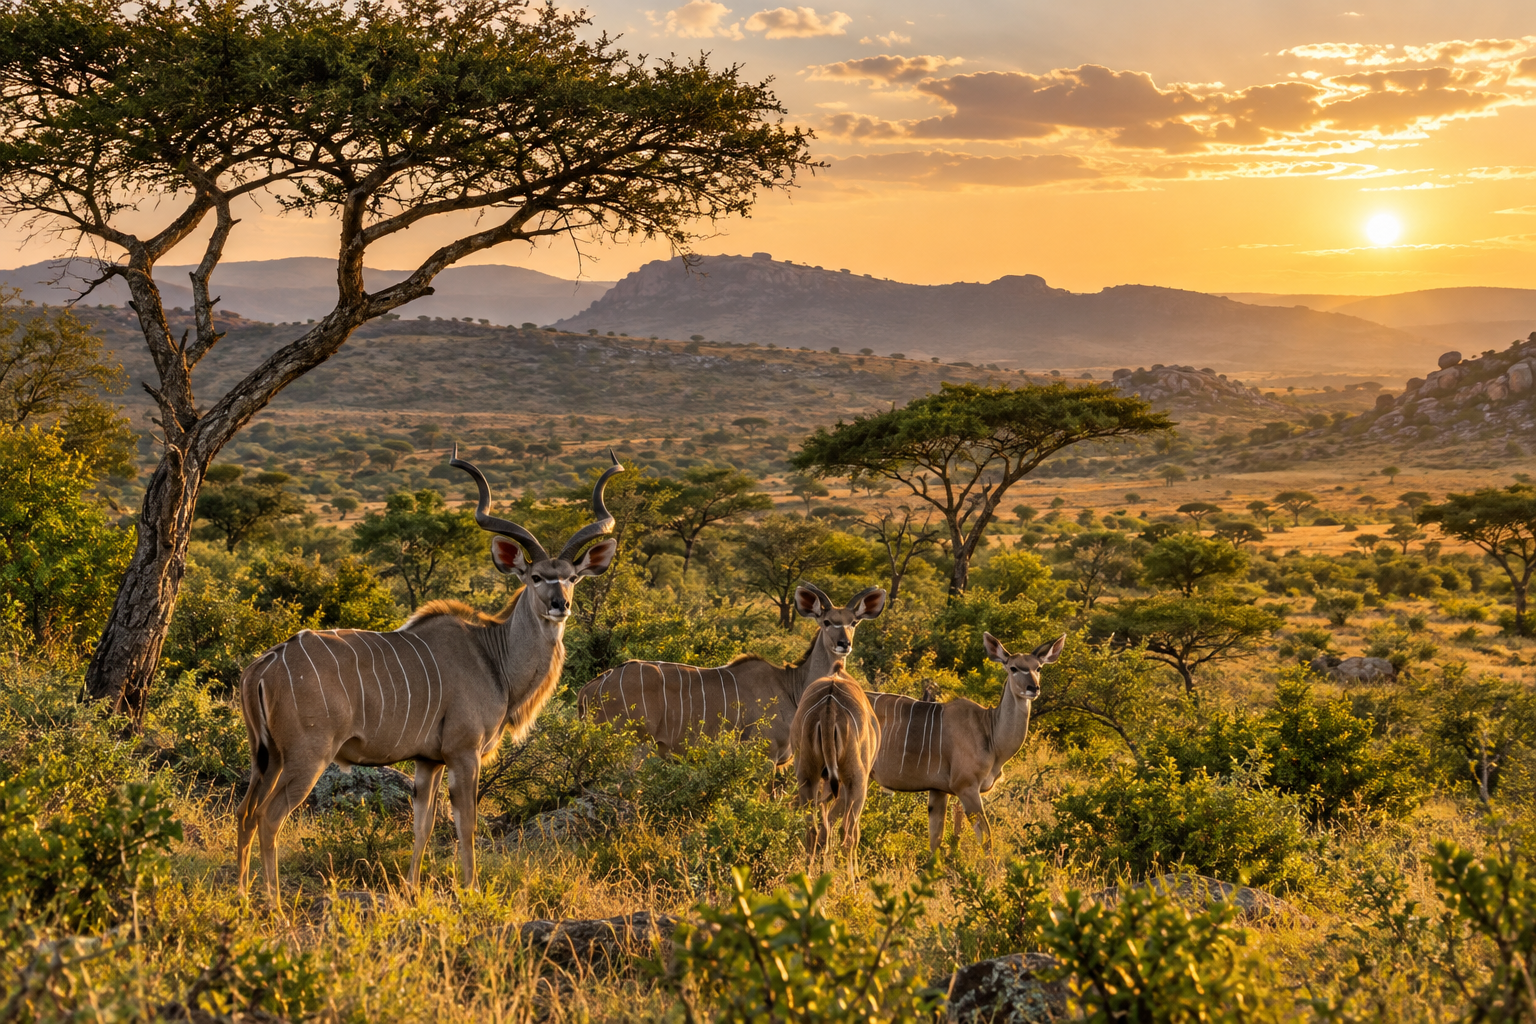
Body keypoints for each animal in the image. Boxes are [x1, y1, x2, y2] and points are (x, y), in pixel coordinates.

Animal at [234, 450, 622, 897]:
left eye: (573, 577)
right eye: (537, 577)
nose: (561, 604)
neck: (493, 654)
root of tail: (264, 664)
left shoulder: (428, 761)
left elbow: (422, 825)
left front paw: (412, 890)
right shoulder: (463, 753)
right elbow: (466, 825)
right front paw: (471, 891)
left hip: (267, 758)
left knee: (245, 812)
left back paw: (240, 894)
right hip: (306, 758)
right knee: (269, 817)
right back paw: (274, 900)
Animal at [577, 584, 886, 764]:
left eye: (854, 622)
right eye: (827, 622)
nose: (844, 643)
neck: (792, 688)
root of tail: (589, 689)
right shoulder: (766, 756)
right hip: (633, 747)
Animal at [790, 670, 880, 875]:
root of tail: (828, 711)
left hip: (807, 777)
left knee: (813, 831)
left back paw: (808, 877)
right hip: (856, 781)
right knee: (847, 835)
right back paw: (852, 882)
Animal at [866, 632, 1064, 851]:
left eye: (1038, 668)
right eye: (1013, 668)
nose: (1033, 688)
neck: (990, 732)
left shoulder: (938, 790)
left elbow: (936, 840)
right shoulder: (966, 787)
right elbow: (986, 840)